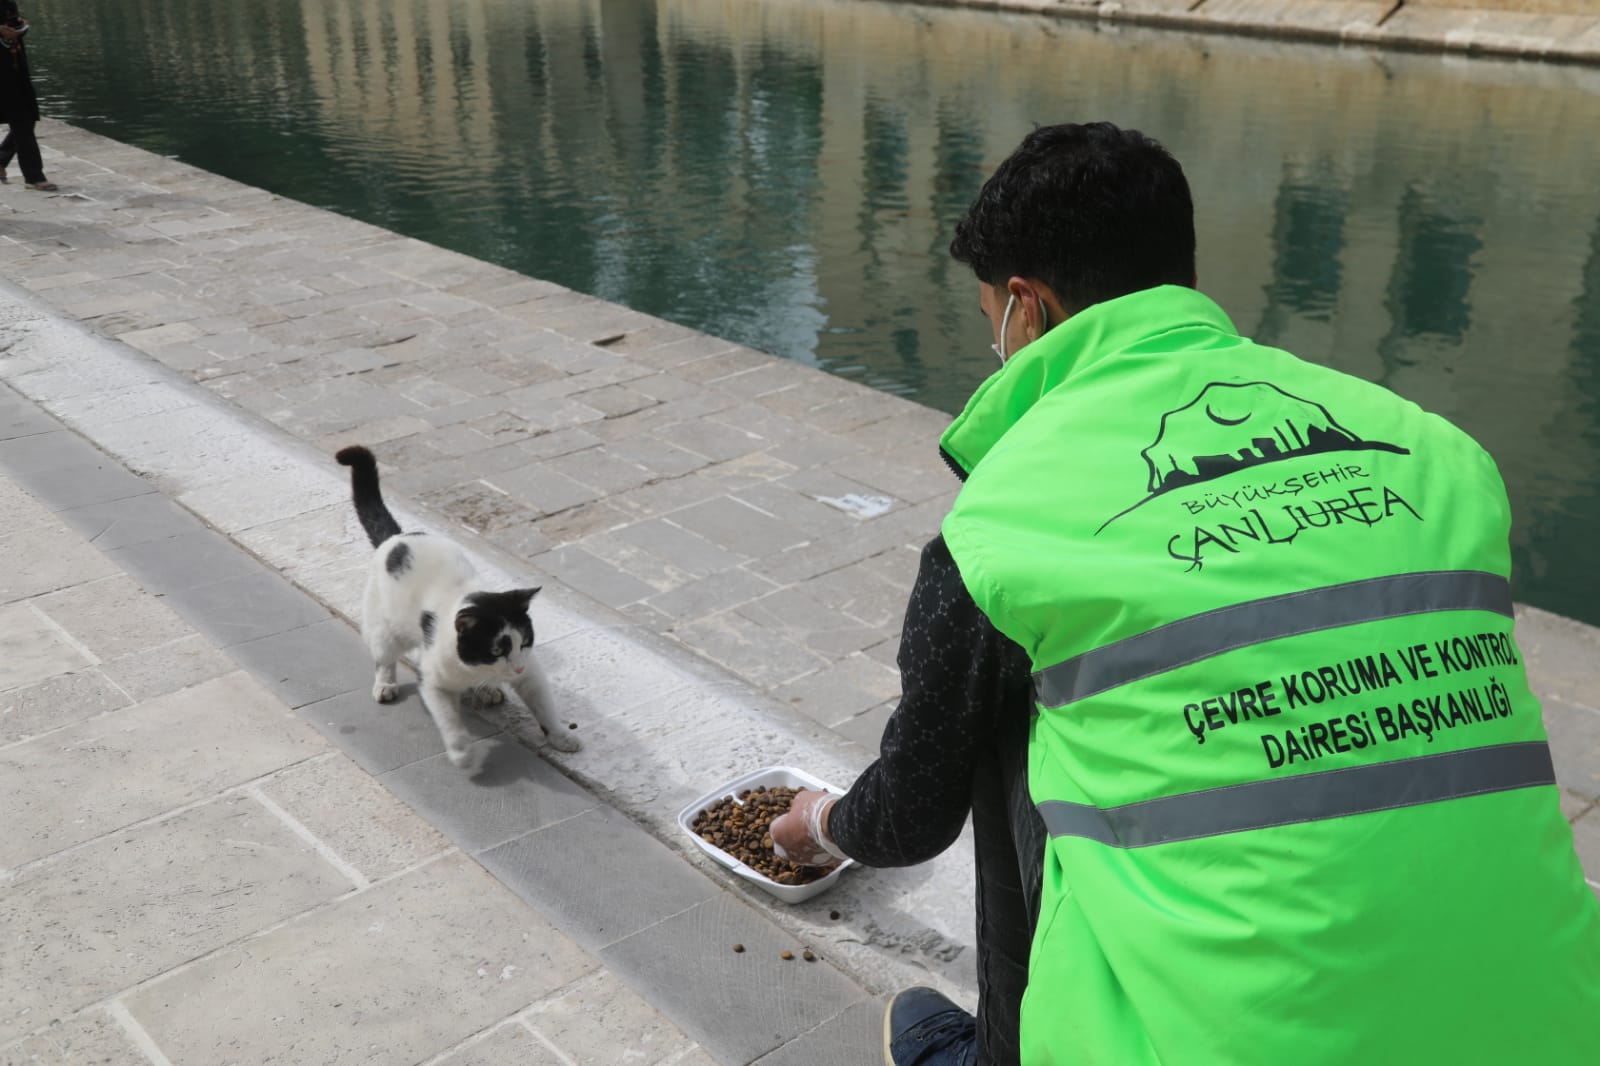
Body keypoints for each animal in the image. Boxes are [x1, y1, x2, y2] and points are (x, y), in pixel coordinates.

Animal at [335, 445, 580, 769]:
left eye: (525, 642)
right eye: (497, 650)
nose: (515, 667)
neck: (475, 669)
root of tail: (396, 537)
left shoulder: (531, 673)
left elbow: (543, 705)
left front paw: (560, 736)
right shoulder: (433, 681)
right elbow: (449, 719)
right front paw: (462, 752)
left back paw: (489, 690)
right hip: (383, 628)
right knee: (384, 658)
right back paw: (385, 685)